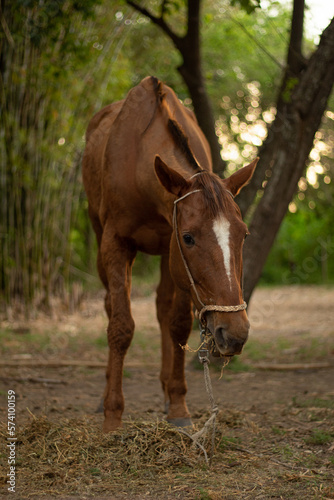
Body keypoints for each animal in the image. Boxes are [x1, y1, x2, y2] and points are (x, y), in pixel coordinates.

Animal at [81, 76, 258, 432]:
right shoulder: (116, 243)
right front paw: (112, 415)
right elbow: (120, 326)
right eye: (189, 237)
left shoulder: (172, 254)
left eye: (243, 235)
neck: (140, 163)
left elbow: (177, 324)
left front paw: (178, 405)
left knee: (163, 309)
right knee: (110, 305)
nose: (235, 333)